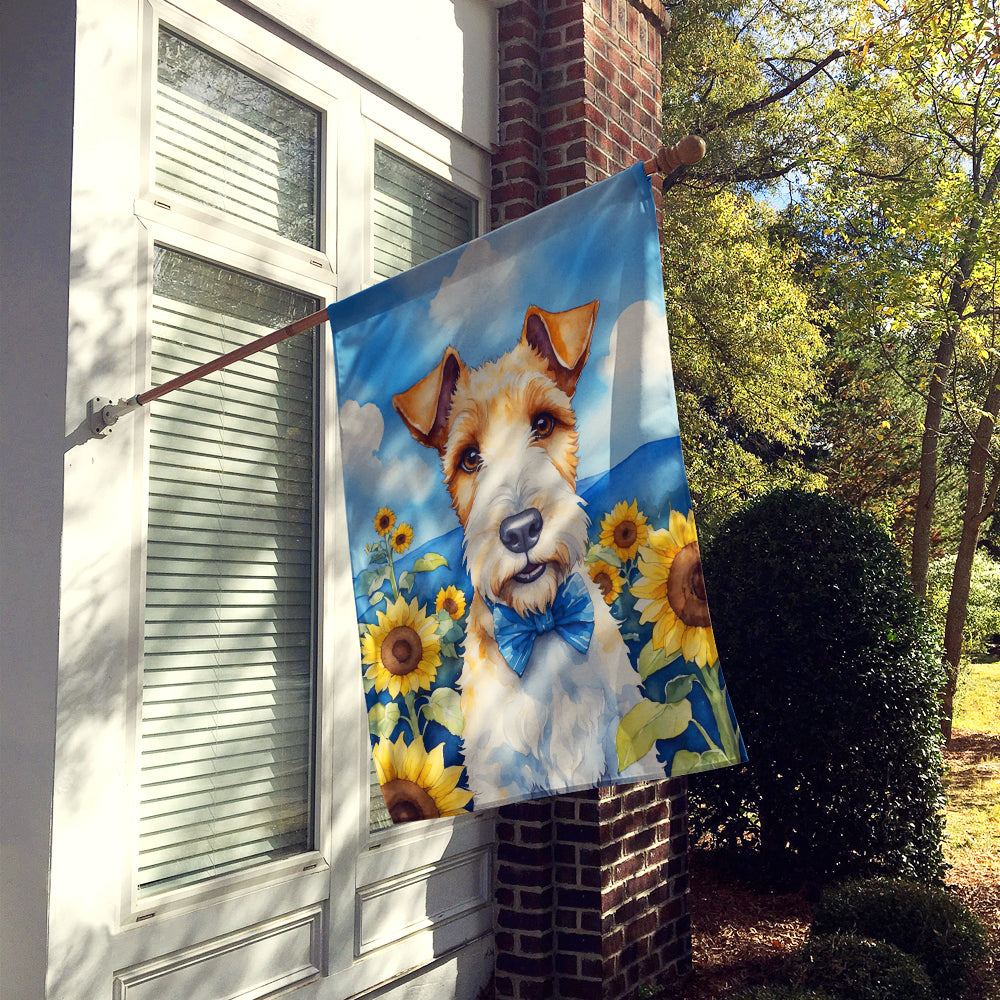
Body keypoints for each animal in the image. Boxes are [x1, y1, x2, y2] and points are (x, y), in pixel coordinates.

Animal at [390, 300, 640, 808]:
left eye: (542, 424)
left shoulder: (628, 748)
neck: (542, 626)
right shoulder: (499, 779)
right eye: (469, 458)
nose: (521, 531)